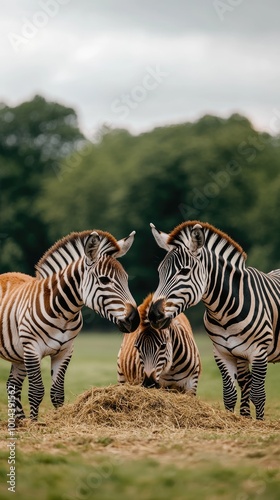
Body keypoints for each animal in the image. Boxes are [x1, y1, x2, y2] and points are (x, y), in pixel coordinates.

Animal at [0, 230, 140, 422]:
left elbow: (57, 393)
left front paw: (58, 419)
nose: (135, 320)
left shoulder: (65, 350)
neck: (63, 313)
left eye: (126, 279)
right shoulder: (32, 349)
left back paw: (19, 421)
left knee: (12, 384)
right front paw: (35, 424)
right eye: (104, 280)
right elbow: (36, 391)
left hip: (19, 355)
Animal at [150, 221, 280, 420]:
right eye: (159, 272)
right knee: (245, 382)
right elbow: (229, 394)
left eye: (184, 271)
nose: (153, 314)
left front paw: (259, 423)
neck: (225, 312)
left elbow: (258, 395)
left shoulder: (259, 352)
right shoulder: (221, 352)